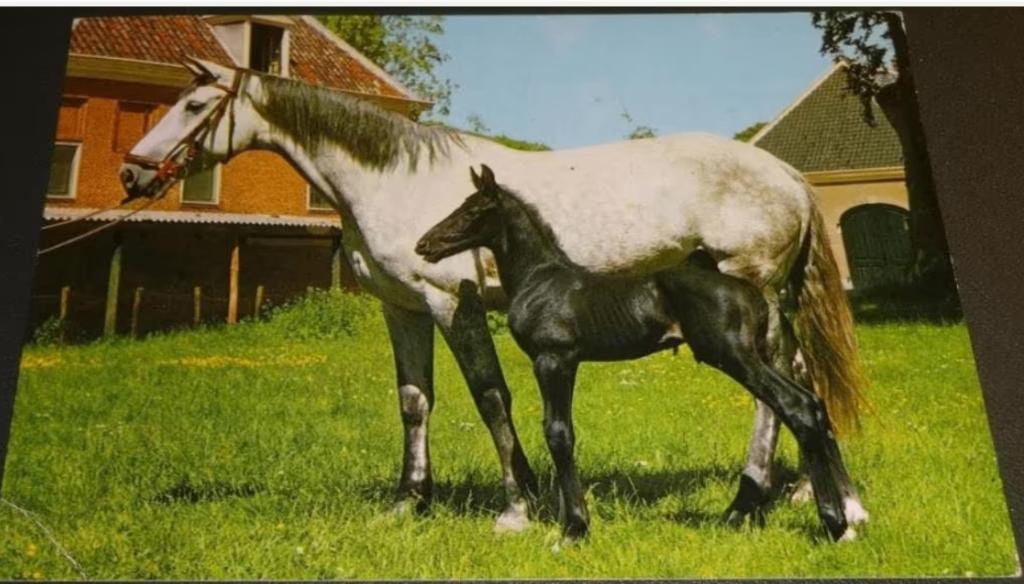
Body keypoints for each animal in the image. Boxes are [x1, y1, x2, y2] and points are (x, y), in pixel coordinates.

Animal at [416, 164, 861, 542]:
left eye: (473, 210)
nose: (424, 244)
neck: (541, 279)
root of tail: (753, 295)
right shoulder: (566, 362)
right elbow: (562, 432)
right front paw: (571, 521)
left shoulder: (553, 359)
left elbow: (558, 433)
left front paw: (573, 529)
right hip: (758, 355)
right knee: (811, 402)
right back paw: (847, 518)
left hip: (734, 356)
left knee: (795, 406)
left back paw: (834, 523)